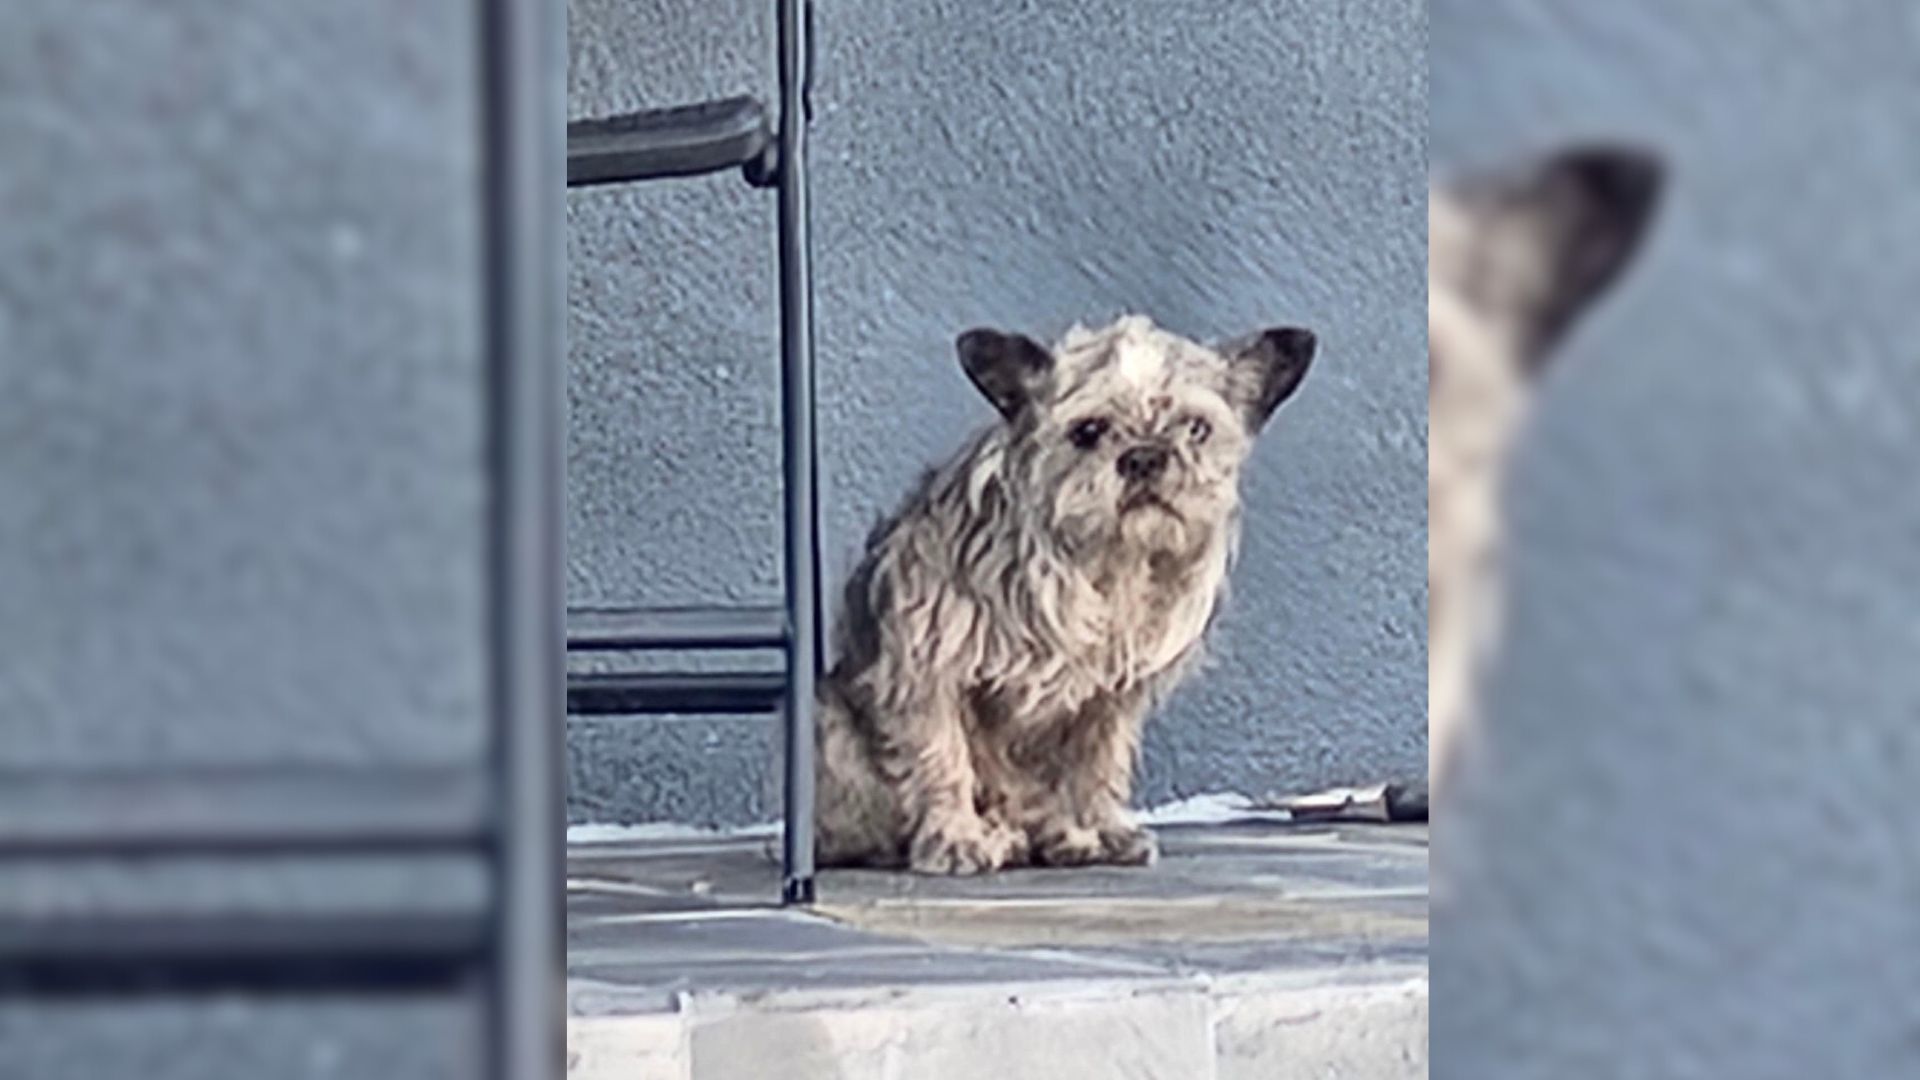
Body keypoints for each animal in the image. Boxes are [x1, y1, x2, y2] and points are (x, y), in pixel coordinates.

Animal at [810, 315, 1320, 868]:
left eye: (1196, 428)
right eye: (1088, 431)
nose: (1144, 457)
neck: (1102, 564)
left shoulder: (1108, 699)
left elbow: (1097, 767)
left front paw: (1097, 827)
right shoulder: (928, 667)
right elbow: (941, 755)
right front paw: (957, 836)